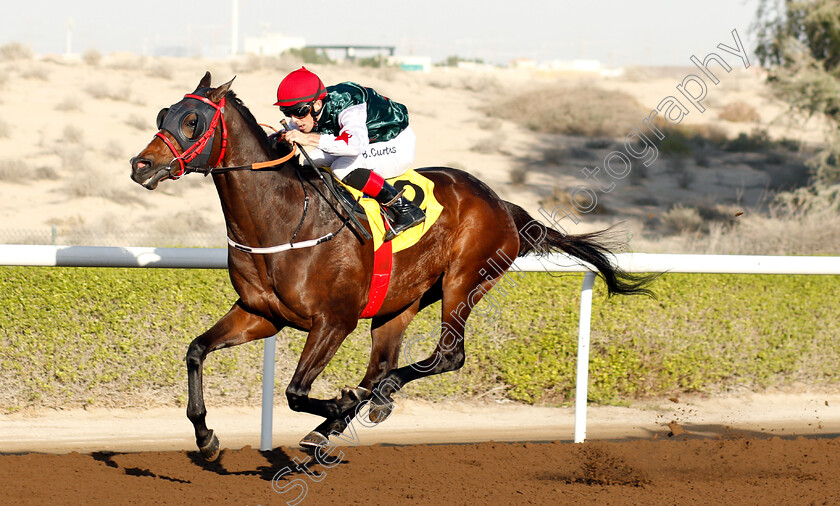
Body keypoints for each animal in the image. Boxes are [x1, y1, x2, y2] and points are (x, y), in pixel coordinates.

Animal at [130, 73, 656, 460]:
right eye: (163, 115)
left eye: (193, 120)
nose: (141, 165)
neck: (283, 219)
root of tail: (502, 204)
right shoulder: (261, 315)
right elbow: (196, 351)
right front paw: (206, 439)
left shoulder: (333, 320)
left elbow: (296, 391)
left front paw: (337, 405)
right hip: (398, 302)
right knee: (381, 364)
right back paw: (350, 413)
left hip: (464, 281)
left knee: (446, 357)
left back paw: (364, 403)